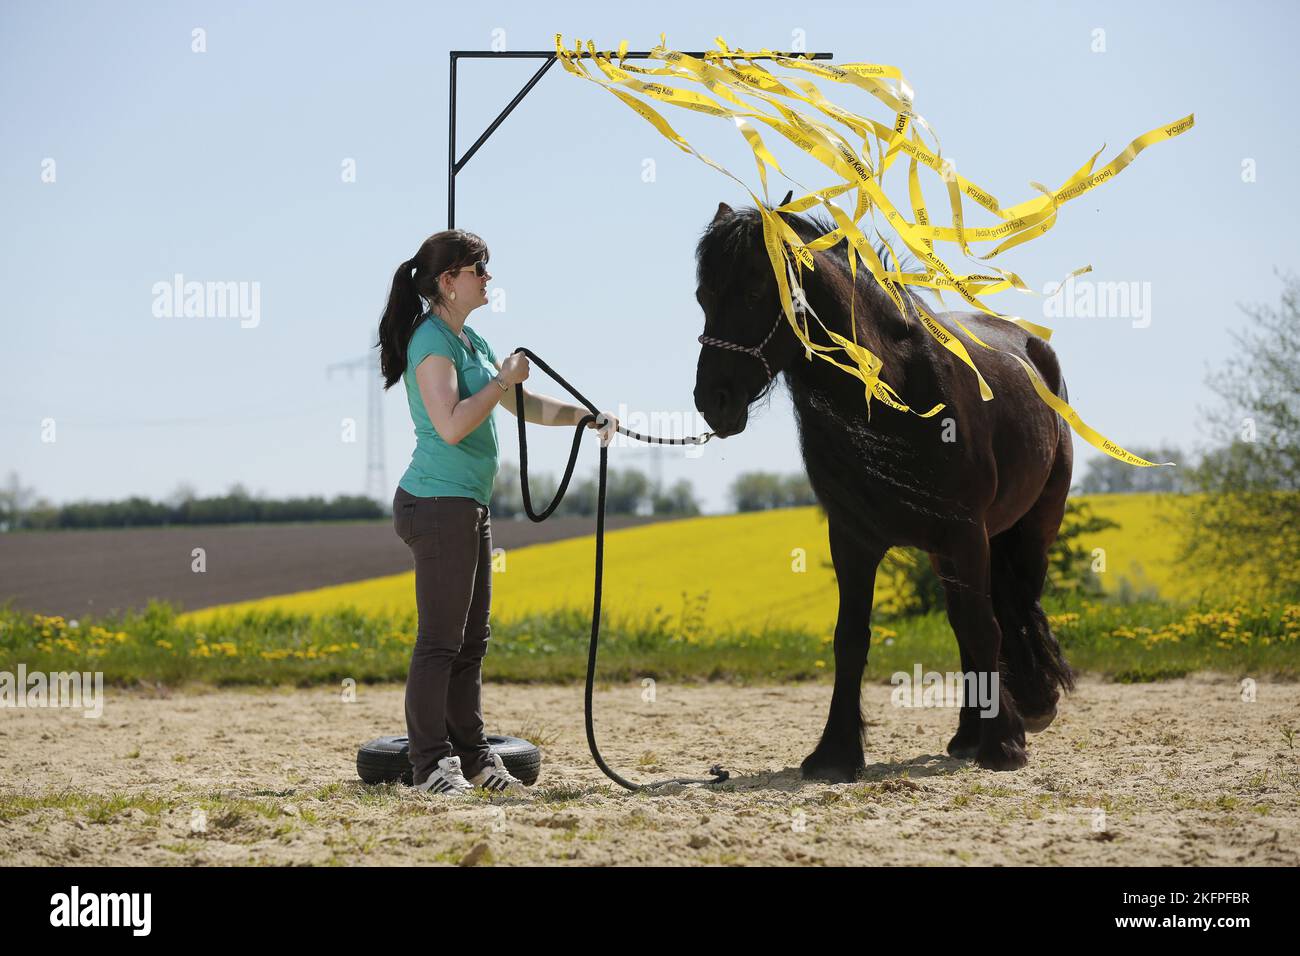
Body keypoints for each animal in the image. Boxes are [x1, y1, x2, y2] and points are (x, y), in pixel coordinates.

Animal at [696, 196, 1071, 780]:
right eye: (702, 297)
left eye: (757, 291)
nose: (712, 399)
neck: (897, 389)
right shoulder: (853, 539)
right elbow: (851, 638)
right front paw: (834, 753)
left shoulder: (967, 532)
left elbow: (984, 627)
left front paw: (1004, 744)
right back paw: (969, 732)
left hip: (1031, 528)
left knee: (1013, 606)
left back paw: (1016, 715)